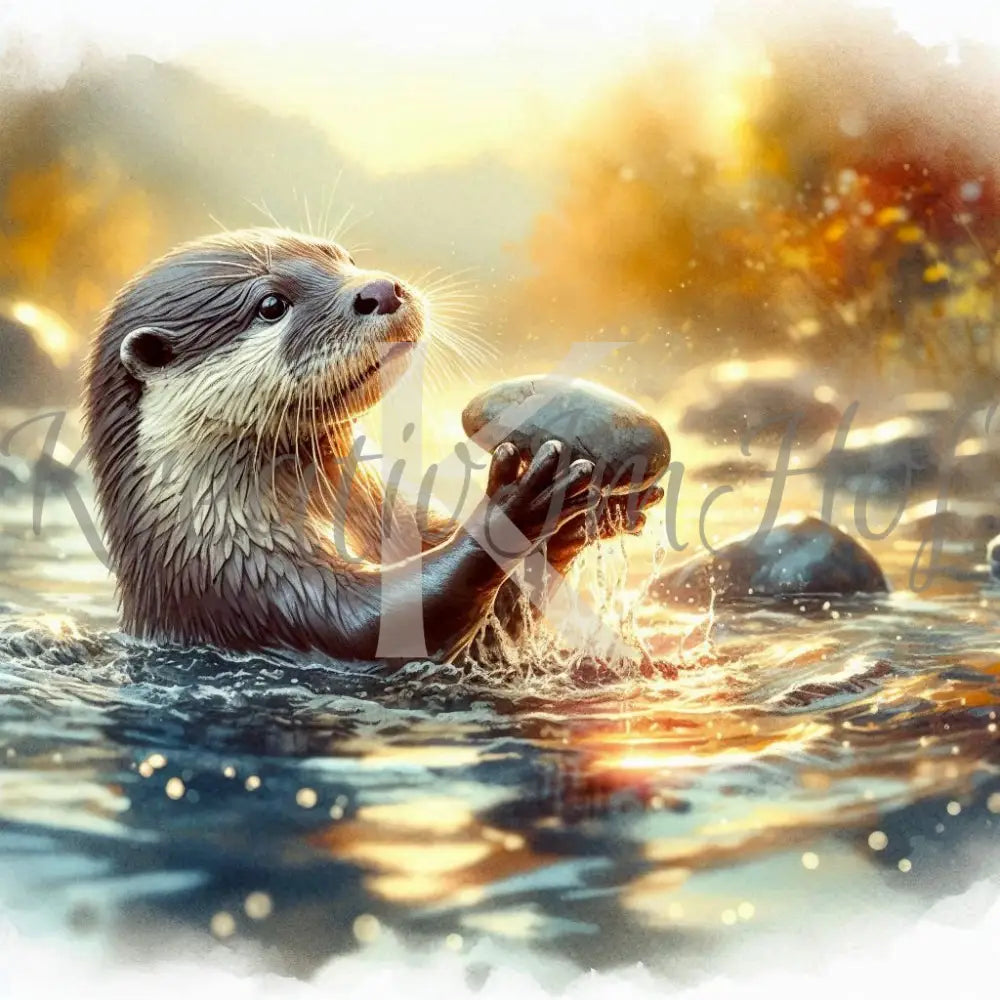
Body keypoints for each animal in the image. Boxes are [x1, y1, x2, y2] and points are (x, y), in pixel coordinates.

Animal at [84, 229, 660, 665]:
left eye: (344, 258)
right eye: (271, 305)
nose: (381, 289)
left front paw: (588, 512)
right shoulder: (246, 583)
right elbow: (384, 622)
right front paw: (515, 507)